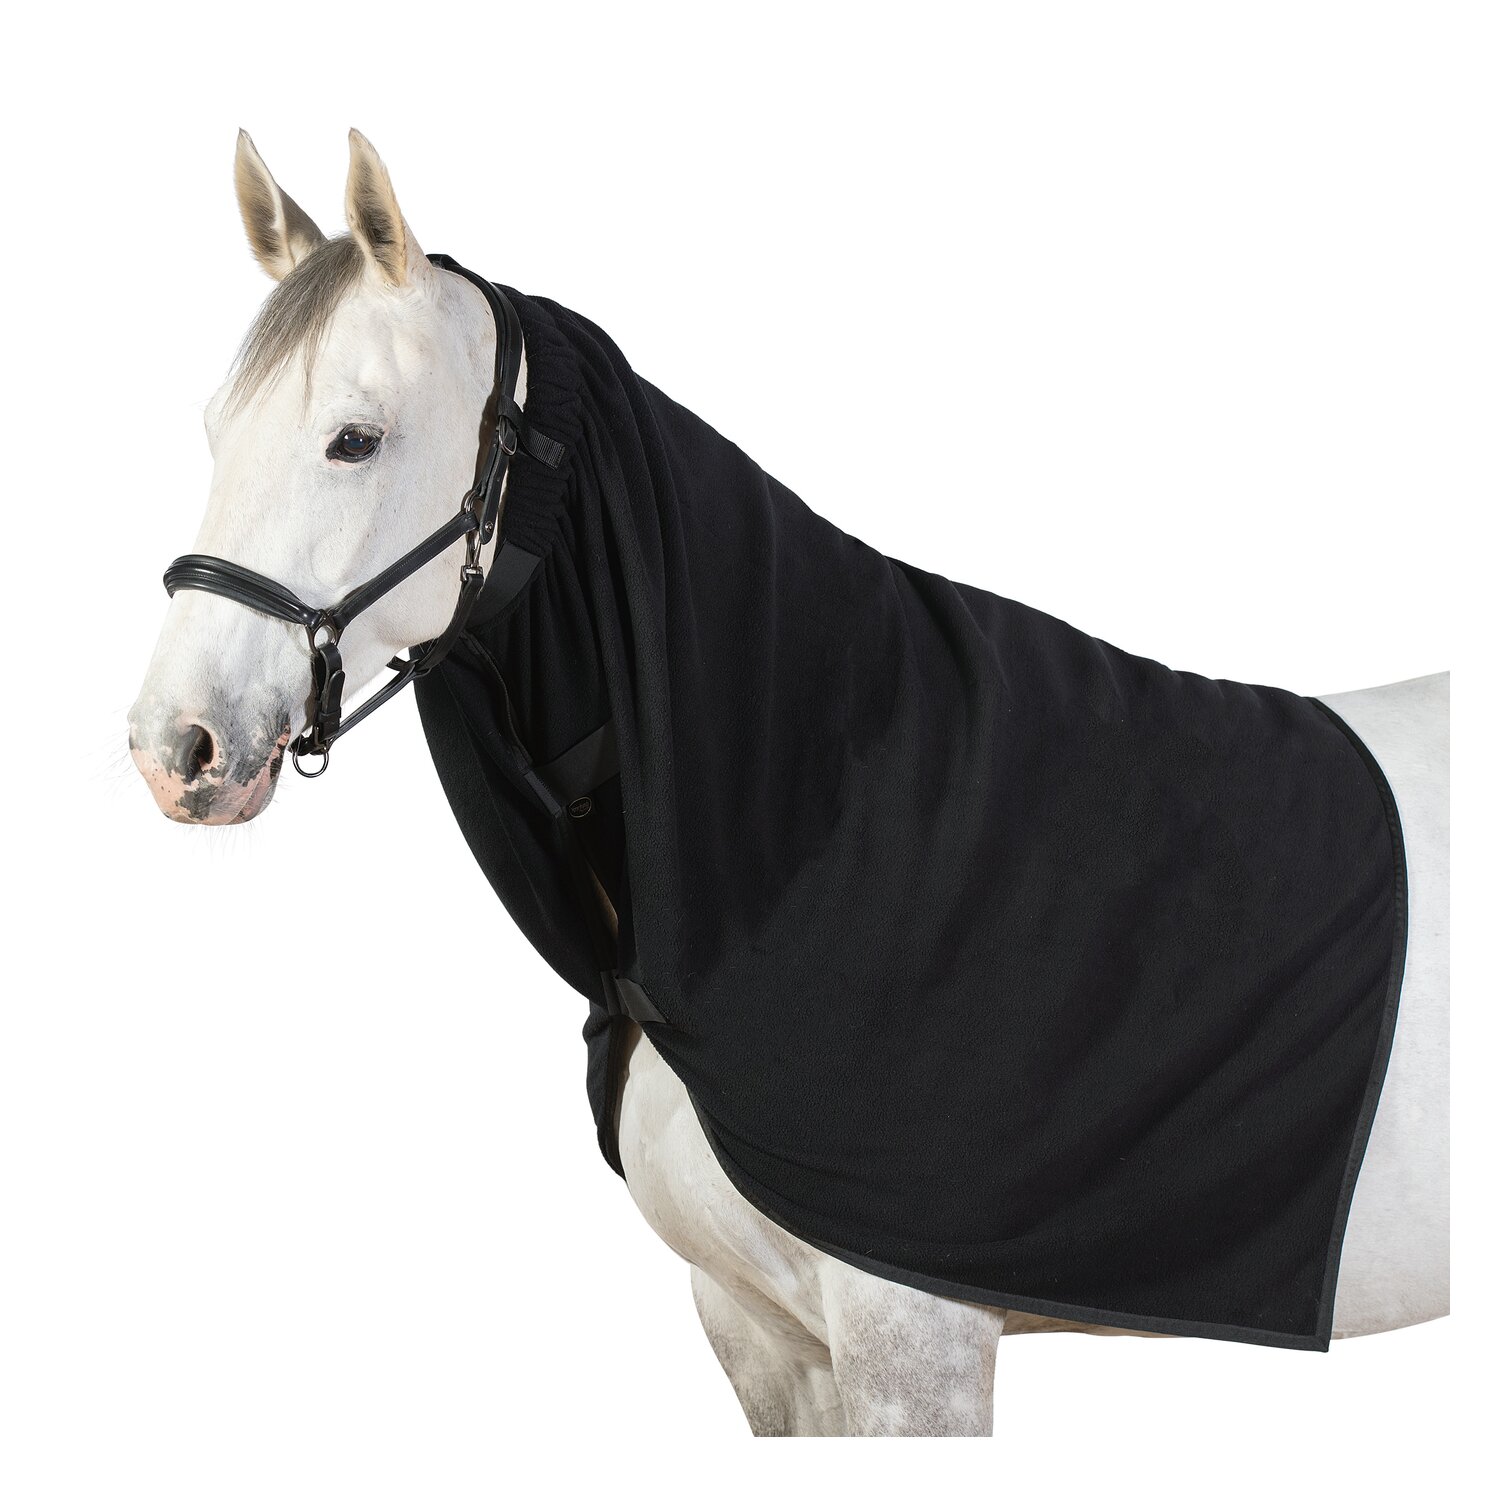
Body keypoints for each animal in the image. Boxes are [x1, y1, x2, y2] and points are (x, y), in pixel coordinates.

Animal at [129, 129, 1449, 1436]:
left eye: (353, 440)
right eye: (214, 429)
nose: (173, 746)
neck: (822, 818)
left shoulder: (916, 1347)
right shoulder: (761, 1338)